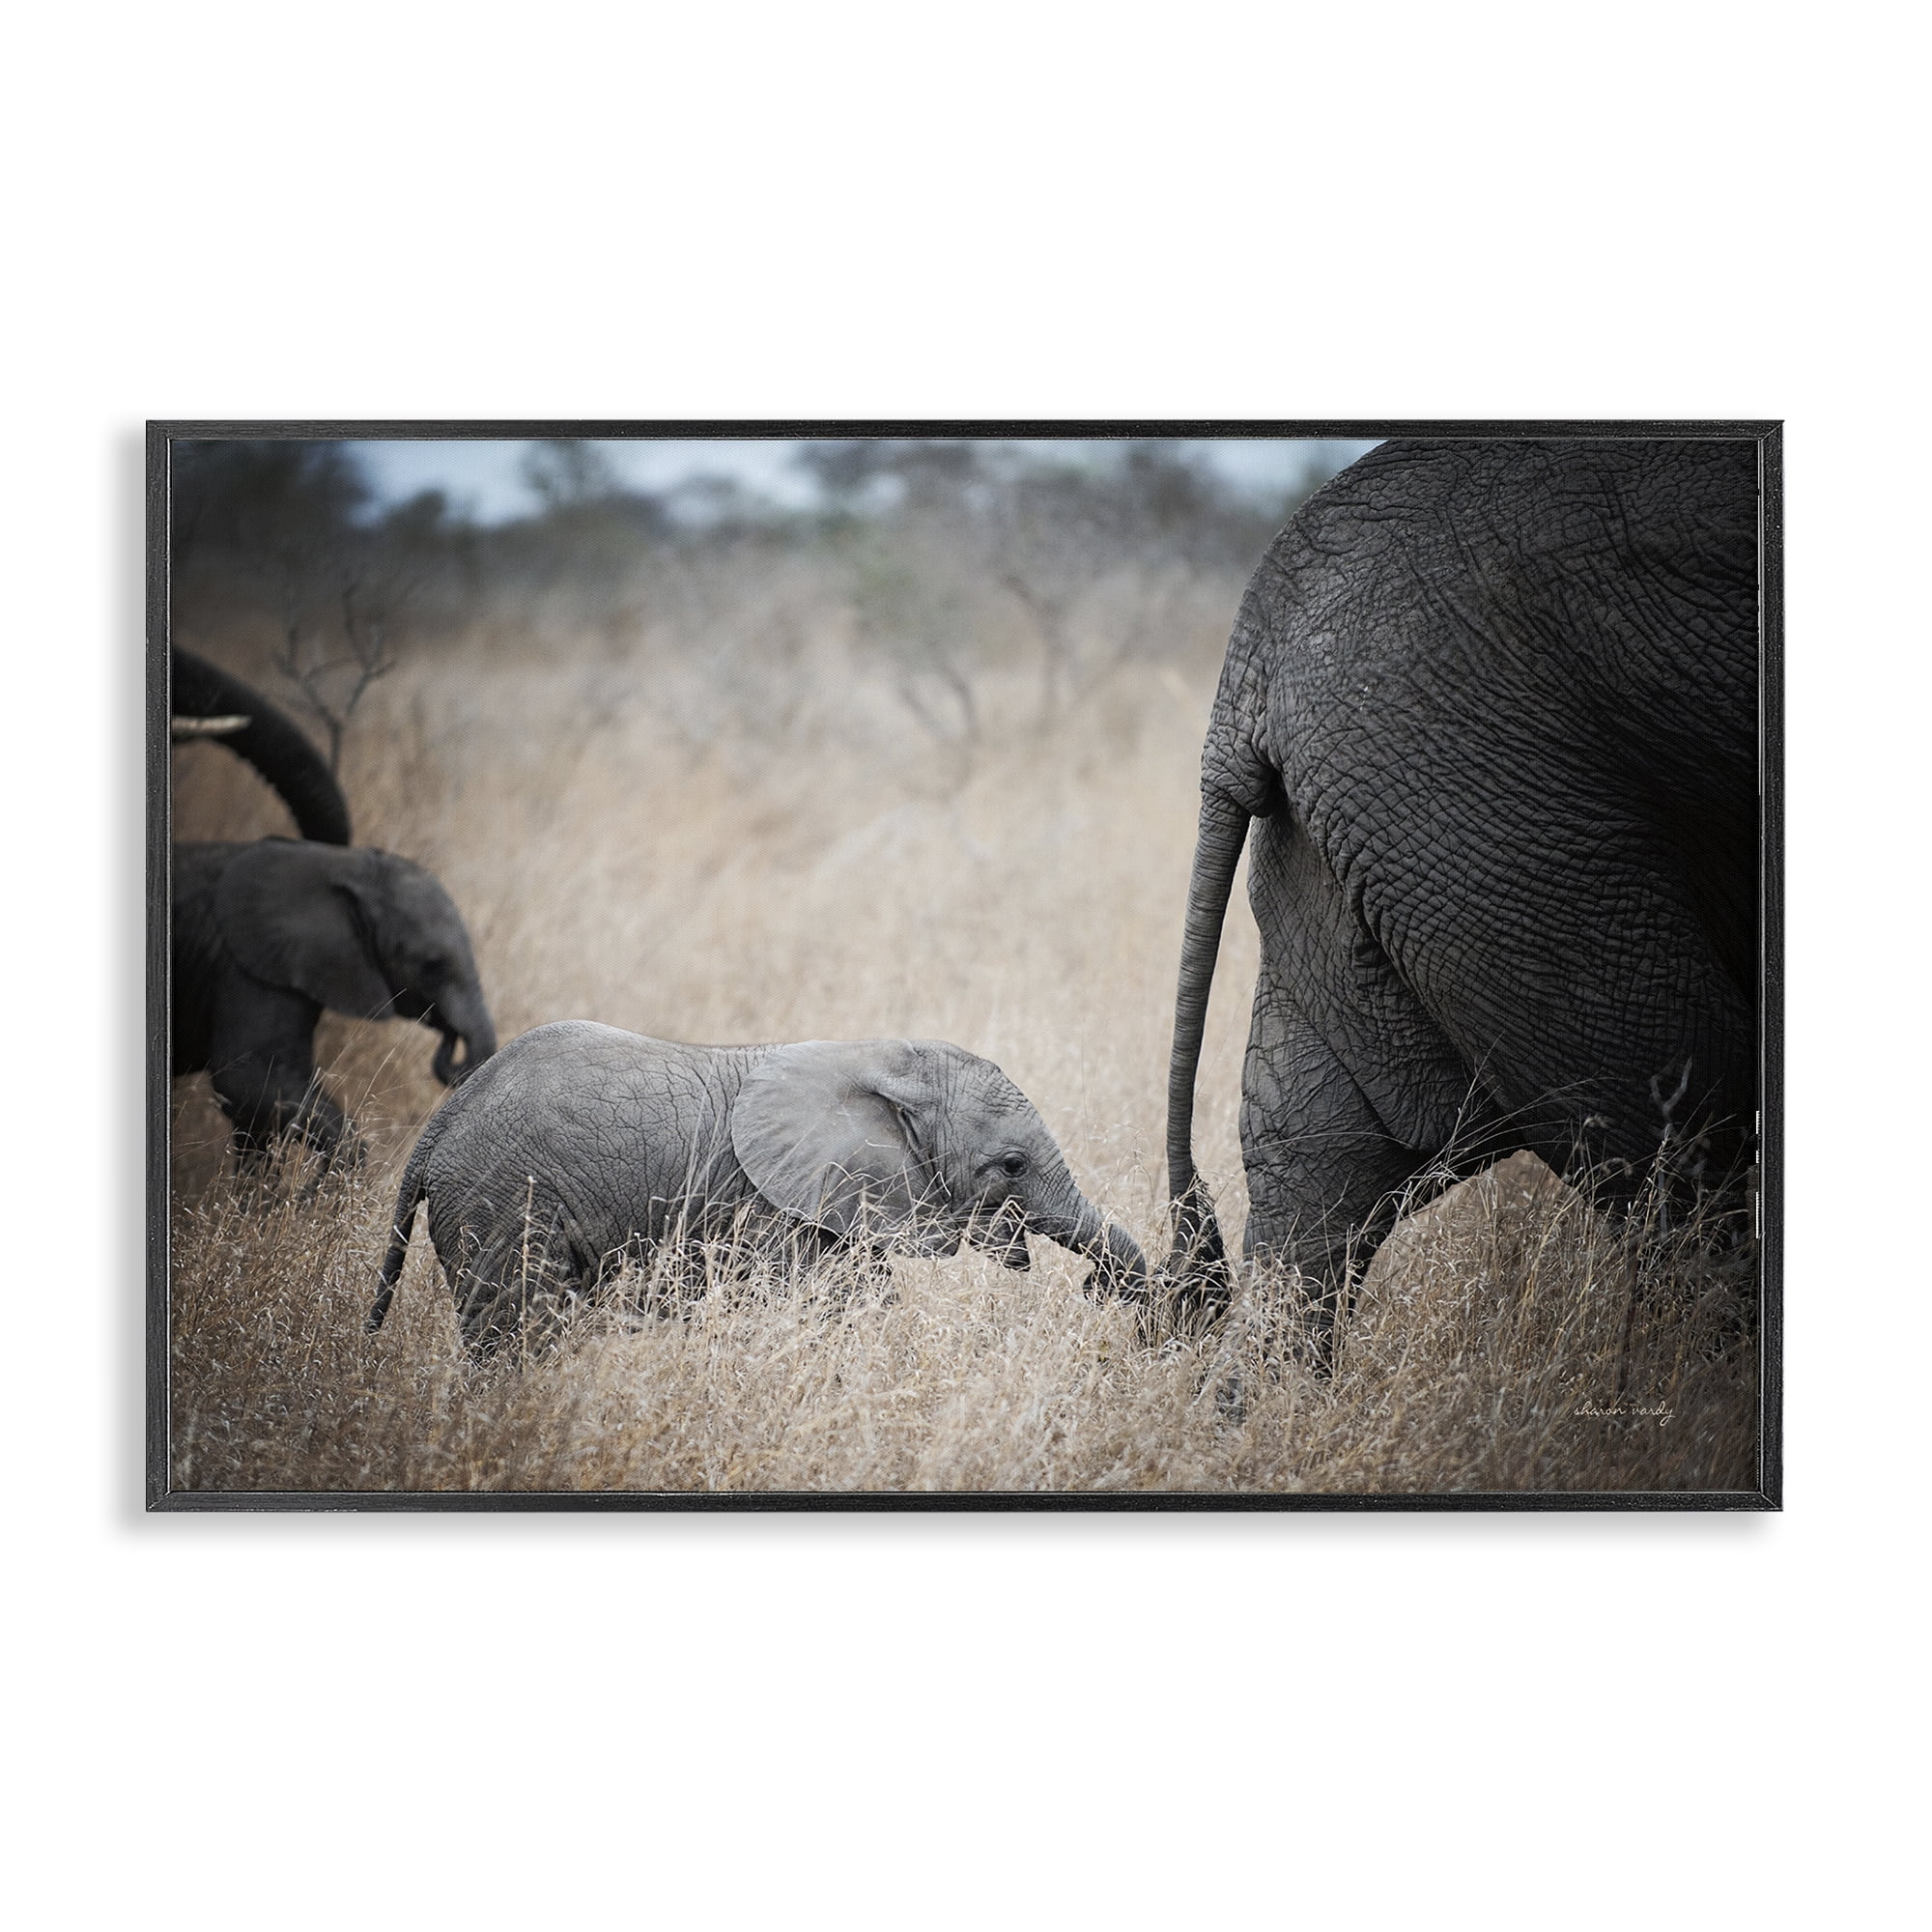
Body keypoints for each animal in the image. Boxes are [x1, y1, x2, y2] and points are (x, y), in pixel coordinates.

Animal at [171, 649, 497, 1165]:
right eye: (430, 965)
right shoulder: (245, 971)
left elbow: (254, 1110)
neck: (341, 875)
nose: (449, 1037)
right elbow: (253, 1086)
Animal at [367, 1021, 1149, 1353]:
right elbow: (843, 1311)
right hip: (502, 1199)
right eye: (1012, 1165)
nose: (1100, 1292)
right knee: (516, 1328)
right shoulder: (770, 1209)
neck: (882, 1057)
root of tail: (440, 1124)